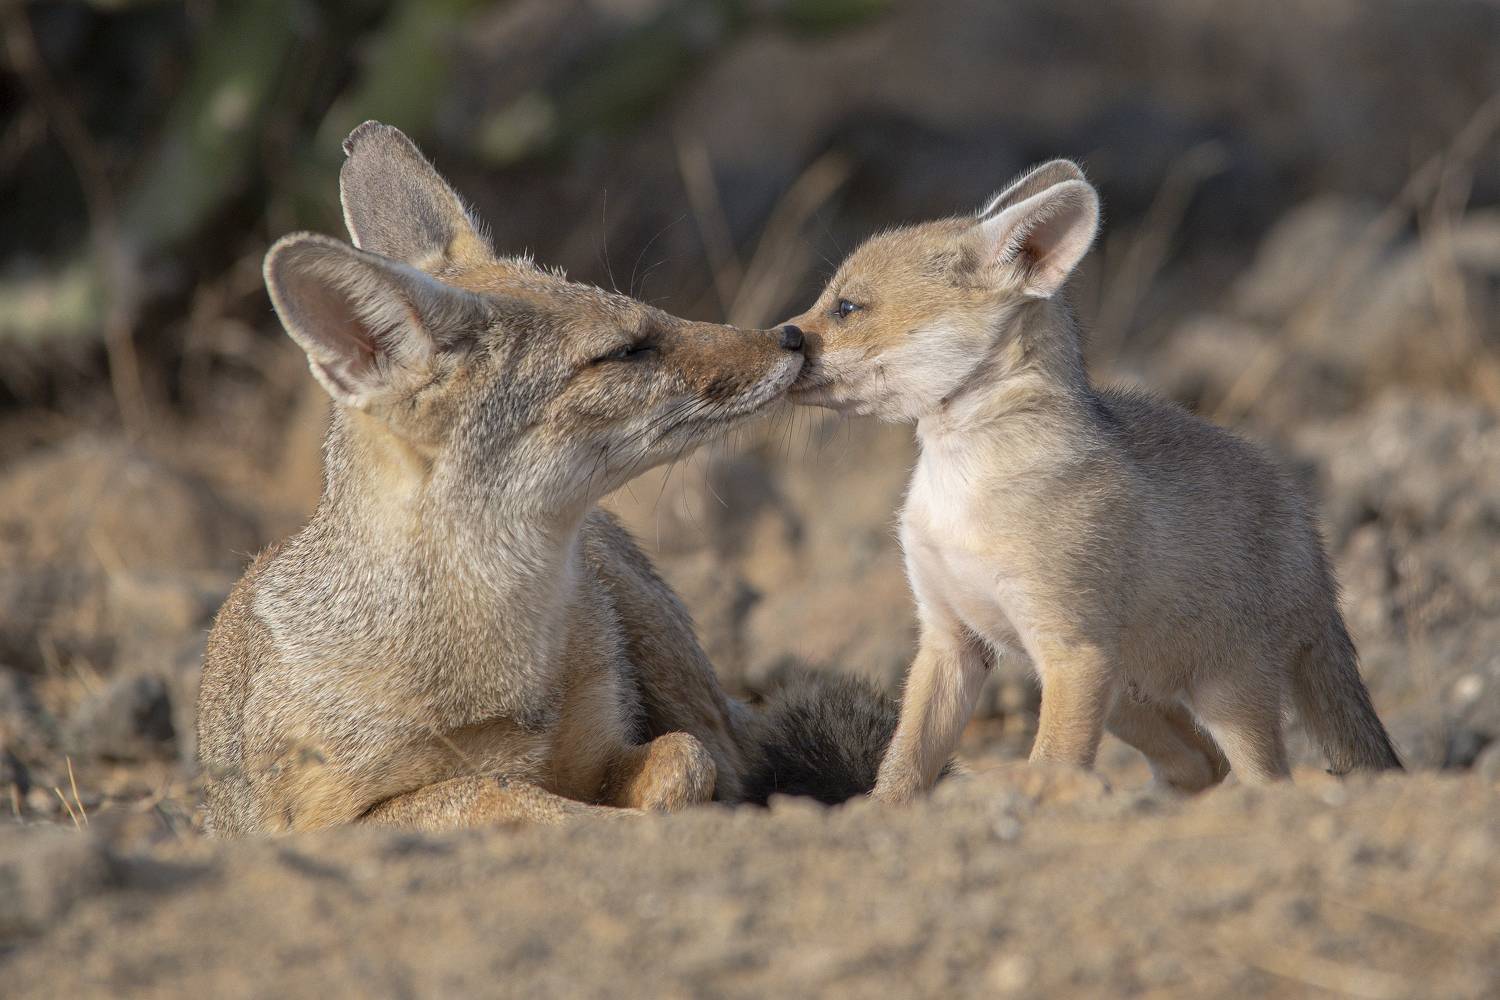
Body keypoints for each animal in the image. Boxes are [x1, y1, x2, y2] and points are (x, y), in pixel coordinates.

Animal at [195, 121, 899, 835]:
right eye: (625, 351)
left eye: (649, 313)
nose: (792, 337)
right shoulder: (336, 821)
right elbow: (499, 792)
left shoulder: (604, 744)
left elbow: (681, 759)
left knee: (729, 746)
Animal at [780, 160, 1402, 801]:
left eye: (846, 307)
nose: (782, 336)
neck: (960, 491)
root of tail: (1312, 545)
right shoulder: (950, 639)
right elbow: (902, 768)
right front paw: (879, 810)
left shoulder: (1071, 653)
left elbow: (1051, 763)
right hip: (1123, 696)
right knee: (1201, 762)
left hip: (1219, 698)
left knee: (1262, 778)